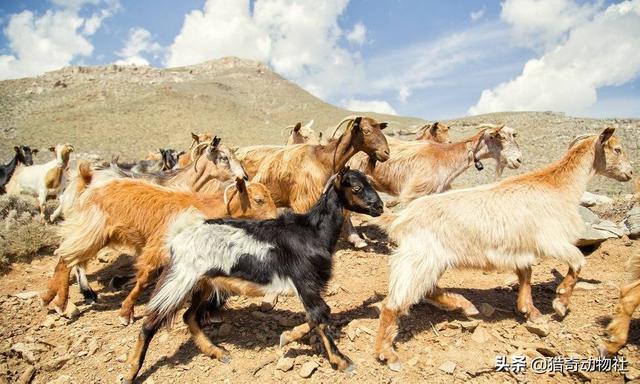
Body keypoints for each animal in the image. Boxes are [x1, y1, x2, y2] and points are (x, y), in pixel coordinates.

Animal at [41, 165, 276, 324]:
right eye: (259, 200)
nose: (276, 218)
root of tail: (88, 184)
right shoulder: (157, 248)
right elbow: (143, 279)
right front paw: (126, 312)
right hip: (92, 231)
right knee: (65, 257)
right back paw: (56, 300)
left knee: (66, 259)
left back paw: (54, 299)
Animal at [122, 167, 384, 380]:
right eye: (357, 187)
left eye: (370, 182)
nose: (380, 207)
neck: (312, 232)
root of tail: (179, 236)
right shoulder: (305, 281)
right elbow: (321, 315)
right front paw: (342, 361)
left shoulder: (307, 287)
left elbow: (315, 316)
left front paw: (287, 336)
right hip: (178, 280)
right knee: (149, 324)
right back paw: (131, 372)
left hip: (204, 284)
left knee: (189, 316)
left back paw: (218, 352)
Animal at [372, 128, 632, 372]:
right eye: (617, 149)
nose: (630, 173)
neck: (558, 186)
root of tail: (401, 218)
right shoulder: (552, 240)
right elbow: (577, 262)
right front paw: (560, 304)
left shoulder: (523, 247)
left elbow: (526, 275)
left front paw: (530, 310)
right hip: (420, 258)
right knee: (393, 303)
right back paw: (387, 354)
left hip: (430, 259)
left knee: (426, 290)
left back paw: (464, 305)